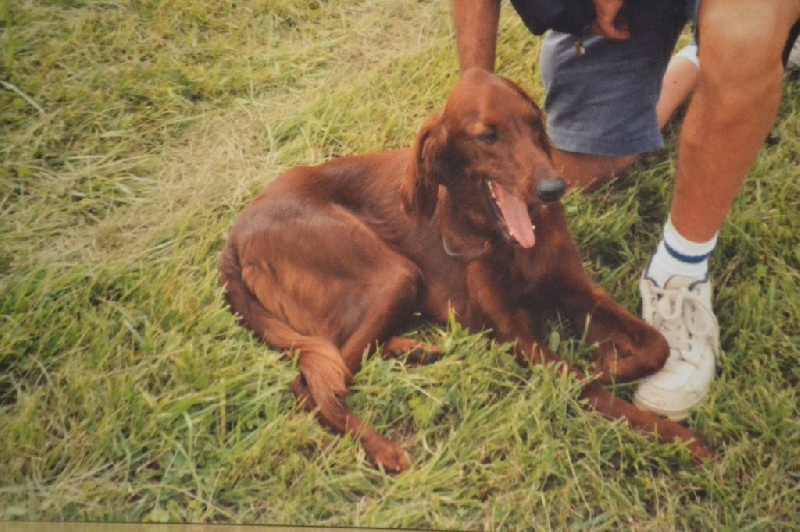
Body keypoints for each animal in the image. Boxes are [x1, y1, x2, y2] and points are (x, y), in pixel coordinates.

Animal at [219, 69, 711, 472]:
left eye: (534, 126)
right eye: (488, 136)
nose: (553, 189)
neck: (508, 241)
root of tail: (235, 235)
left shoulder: (577, 290)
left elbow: (656, 346)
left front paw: (610, 360)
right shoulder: (513, 332)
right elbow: (577, 381)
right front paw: (676, 437)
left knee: (338, 354)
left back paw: (419, 350)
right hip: (394, 273)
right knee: (311, 381)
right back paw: (384, 448)